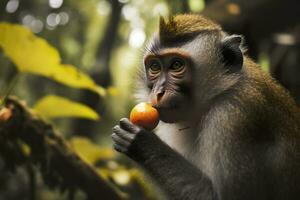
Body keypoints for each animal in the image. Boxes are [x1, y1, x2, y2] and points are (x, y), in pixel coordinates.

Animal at [111, 14, 300, 200]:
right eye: (155, 67)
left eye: (176, 65)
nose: (158, 92)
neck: (218, 94)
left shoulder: (233, 116)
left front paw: (140, 142)